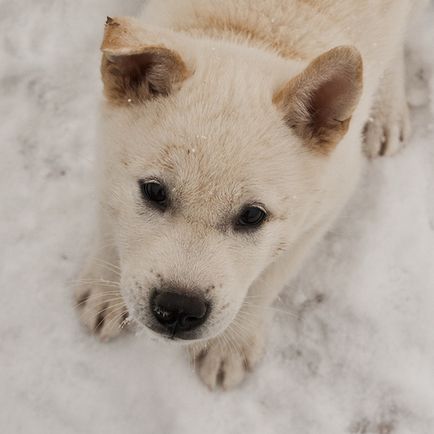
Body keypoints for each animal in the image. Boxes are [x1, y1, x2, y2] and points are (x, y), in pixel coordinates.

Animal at [75, 0, 428, 390]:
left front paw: (229, 344)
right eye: (154, 191)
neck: (252, 30)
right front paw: (105, 288)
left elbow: (268, 279)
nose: (179, 309)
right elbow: (110, 220)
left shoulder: (324, 207)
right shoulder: (108, 150)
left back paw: (387, 113)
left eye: (252, 215)